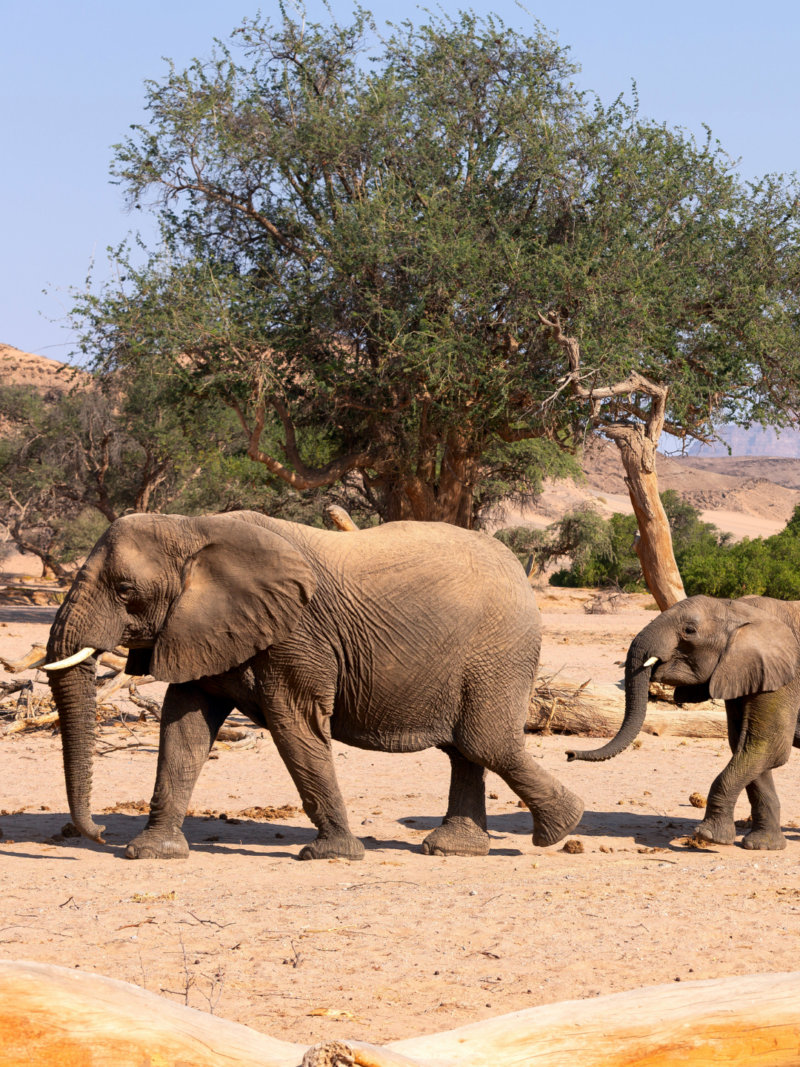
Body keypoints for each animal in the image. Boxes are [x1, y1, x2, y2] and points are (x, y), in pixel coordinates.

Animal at [43, 511, 584, 861]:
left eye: (125, 591)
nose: (98, 833)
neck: (193, 527)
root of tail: (520, 569)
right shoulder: (201, 628)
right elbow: (184, 726)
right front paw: (152, 853)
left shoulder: (298, 634)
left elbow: (294, 722)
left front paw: (332, 855)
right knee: (464, 748)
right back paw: (456, 849)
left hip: (499, 650)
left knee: (483, 741)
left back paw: (562, 828)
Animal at [566, 593, 800, 850]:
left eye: (689, 630)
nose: (569, 754)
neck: (740, 609)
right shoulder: (745, 672)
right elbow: (746, 747)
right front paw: (762, 845)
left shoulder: (786, 676)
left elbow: (769, 747)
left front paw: (708, 837)